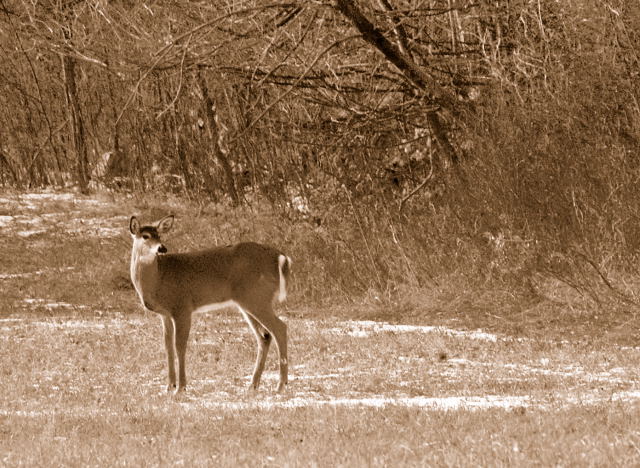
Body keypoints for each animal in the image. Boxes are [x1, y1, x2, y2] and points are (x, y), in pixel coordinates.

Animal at [128, 215, 292, 392]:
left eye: (159, 235)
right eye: (145, 236)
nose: (162, 248)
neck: (158, 280)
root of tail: (281, 258)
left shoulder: (183, 307)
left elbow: (180, 346)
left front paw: (181, 388)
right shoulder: (165, 314)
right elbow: (168, 347)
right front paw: (169, 386)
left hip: (257, 297)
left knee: (280, 328)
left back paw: (281, 385)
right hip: (248, 302)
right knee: (265, 336)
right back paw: (253, 385)